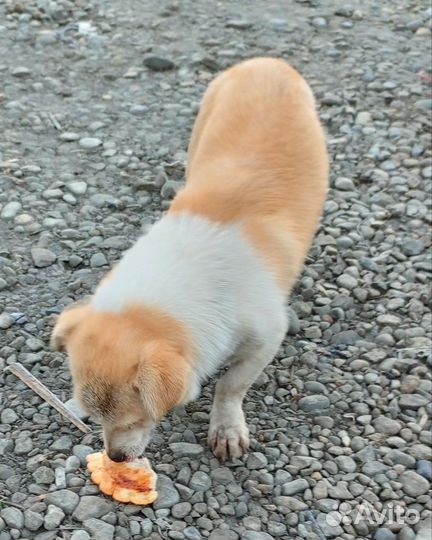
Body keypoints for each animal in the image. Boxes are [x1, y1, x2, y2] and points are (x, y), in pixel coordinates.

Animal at [51, 59, 328, 464]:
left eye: (137, 419)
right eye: (95, 416)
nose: (114, 458)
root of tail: (268, 62)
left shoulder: (266, 337)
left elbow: (231, 384)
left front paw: (226, 429)